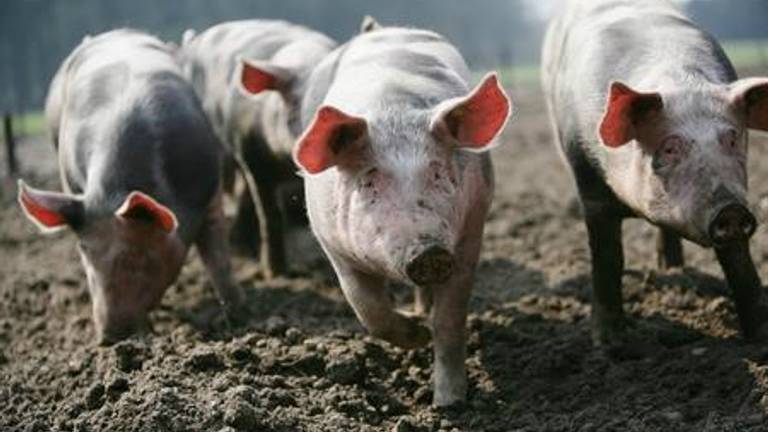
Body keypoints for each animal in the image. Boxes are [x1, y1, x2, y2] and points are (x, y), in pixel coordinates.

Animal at [18, 28, 242, 342]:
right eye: (84, 251)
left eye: (138, 255)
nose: (110, 337)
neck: (114, 193)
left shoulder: (210, 190)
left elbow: (218, 258)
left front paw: (238, 316)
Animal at [292, 26, 512, 404]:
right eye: (369, 181)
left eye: (437, 172)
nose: (429, 251)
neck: (393, 108)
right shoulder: (332, 245)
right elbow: (368, 308)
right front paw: (418, 333)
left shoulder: (471, 230)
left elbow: (451, 318)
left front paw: (449, 403)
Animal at [540, 0, 768, 346]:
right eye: (671, 148)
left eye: (731, 138)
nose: (730, 209)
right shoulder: (587, 181)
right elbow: (607, 257)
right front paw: (609, 343)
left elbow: (739, 262)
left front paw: (760, 339)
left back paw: (671, 270)